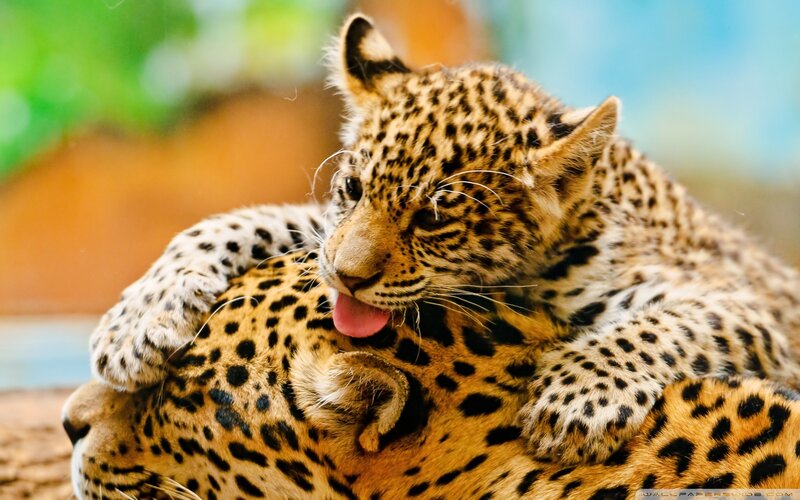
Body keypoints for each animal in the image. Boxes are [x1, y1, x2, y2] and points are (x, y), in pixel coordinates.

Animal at [89, 13, 800, 464]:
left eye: (433, 219)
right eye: (353, 189)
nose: (347, 279)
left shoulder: (754, 307)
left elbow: (665, 324)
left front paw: (574, 400)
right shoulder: (324, 229)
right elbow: (244, 220)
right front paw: (137, 323)